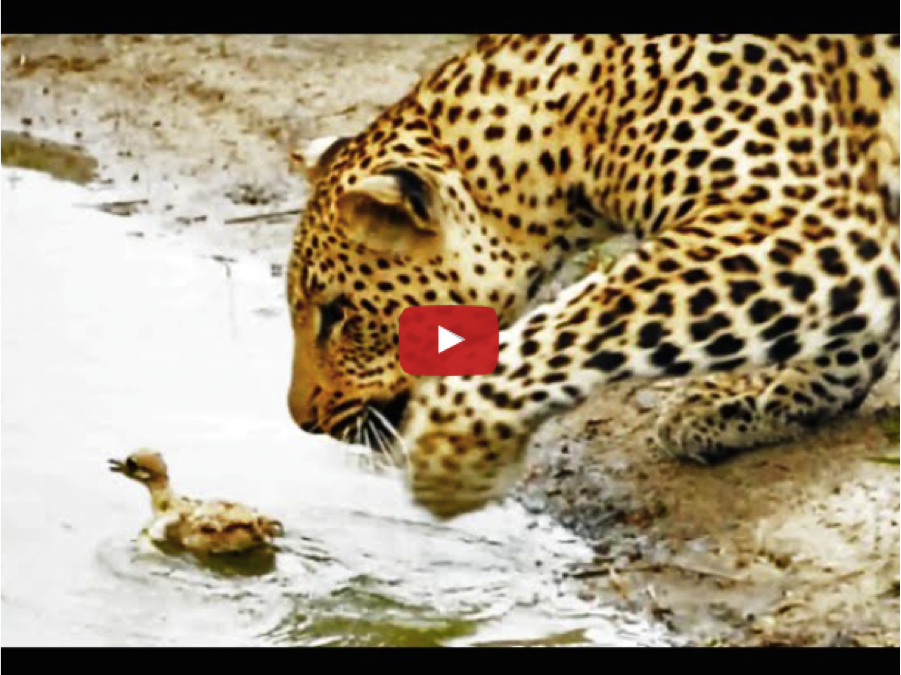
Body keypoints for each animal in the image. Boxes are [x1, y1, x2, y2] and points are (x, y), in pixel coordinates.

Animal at [285, 34, 901, 520]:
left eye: (337, 314)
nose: (303, 422)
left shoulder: (800, 213)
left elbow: (573, 324)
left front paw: (451, 443)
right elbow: (852, 338)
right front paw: (763, 398)